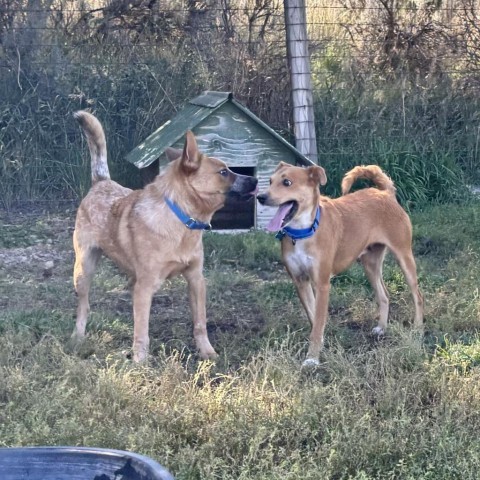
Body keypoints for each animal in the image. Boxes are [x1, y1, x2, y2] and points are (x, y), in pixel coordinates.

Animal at [258, 161, 424, 368]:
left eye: (287, 182)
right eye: (270, 181)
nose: (260, 197)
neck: (304, 231)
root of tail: (385, 193)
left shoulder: (322, 284)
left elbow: (318, 321)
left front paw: (312, 358)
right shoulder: (300, 281)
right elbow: (314, 318)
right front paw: (320, 345)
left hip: (404, 258)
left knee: (418, 296)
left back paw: (418, 329)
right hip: (370, 264)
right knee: (384, 295)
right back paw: (382, 328)